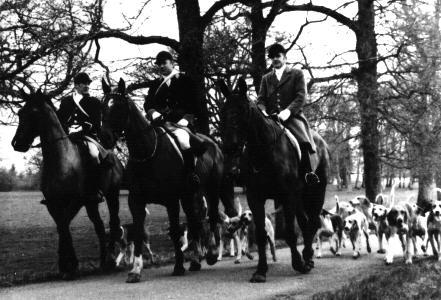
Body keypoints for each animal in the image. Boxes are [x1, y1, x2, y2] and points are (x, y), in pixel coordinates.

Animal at [11, 90, 124, 280]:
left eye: (33, 113)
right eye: (20, 113)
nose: (17, 144)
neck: (61, 160)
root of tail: (114, 158)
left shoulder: (75, 201)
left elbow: (64, 225)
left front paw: (70, 265)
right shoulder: (53, 203)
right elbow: (61, 227)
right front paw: (65, 265)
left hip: (111, 195)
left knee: (113, 222)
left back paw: (110, 260)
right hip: (91, 203)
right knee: (99, 226)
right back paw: (102, 262)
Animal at [99, 78, 234, 284]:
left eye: (119, 106)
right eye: (103, 105)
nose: (104, 137)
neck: (147, 153)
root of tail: (212, 143)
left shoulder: (171, 201)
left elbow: (175, 231)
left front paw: (178, 266)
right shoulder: (136, 201)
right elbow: (139, 233)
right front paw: (135, 270)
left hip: (210, 189)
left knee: (210, 216)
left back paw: (210, 254)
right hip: (189, 196)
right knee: (194, 222)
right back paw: (196, 261)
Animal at [218, 78, 328, 284]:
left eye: (241, 111)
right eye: (223, 111)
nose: (229, 148)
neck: (262, 152)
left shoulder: (287, 195)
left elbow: (291, 233)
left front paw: (298, 264)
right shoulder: (255, 197)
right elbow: (261, 235)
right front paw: (261, 271)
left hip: (316, 193)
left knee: (312, 223)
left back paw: (307, 258)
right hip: (299, 197)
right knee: (305, 222)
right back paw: (307, 256)